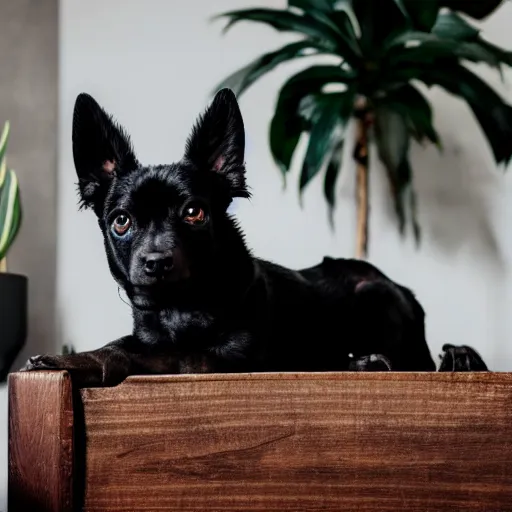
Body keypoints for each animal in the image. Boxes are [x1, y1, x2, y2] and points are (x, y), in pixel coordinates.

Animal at [21, 89, 488, 384]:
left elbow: (151, 354)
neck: (181, 309)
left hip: (373, 294)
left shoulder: (224, 360)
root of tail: (405, 291)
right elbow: (132, 343)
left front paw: (75, 360)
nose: (155, 262)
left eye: (194, 213)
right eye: (121, 221)